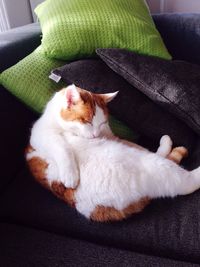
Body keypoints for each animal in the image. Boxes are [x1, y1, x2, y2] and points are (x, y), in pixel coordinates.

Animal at [25, 85, 198, 222]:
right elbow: (61, 147)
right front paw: (70, 176)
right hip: (152, 165)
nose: (95, 135)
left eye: (102, 123)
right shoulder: (40, 135)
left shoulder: (111, 136)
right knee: (187, 182)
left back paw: (166, 142)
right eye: (87, 121)